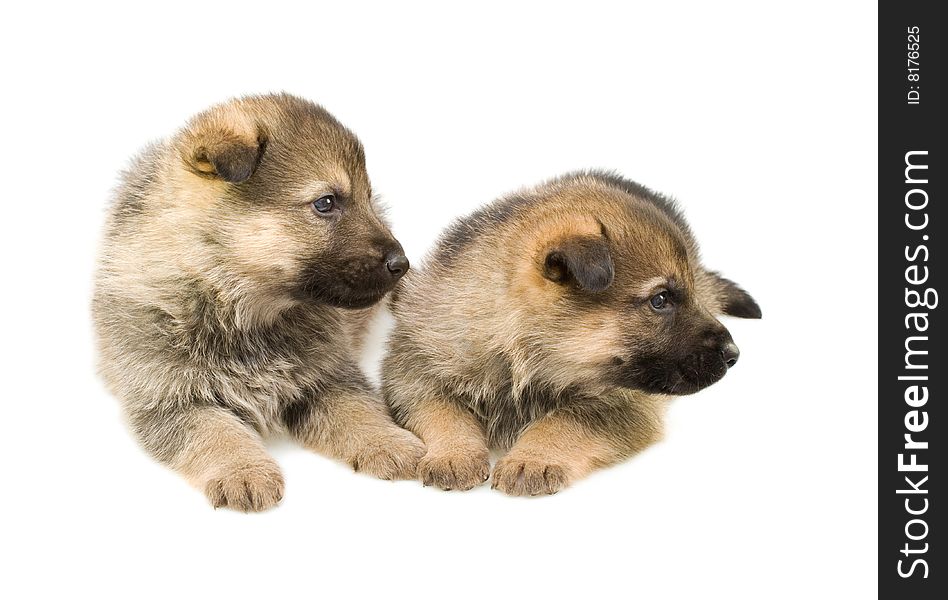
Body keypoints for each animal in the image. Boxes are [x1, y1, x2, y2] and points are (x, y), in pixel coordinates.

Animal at [93, 94, 426, 510]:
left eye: (367, 199)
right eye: (326, 203)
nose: (402, 264)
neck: (236, 305)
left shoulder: (328, 376)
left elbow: (358, 411)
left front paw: (391, 441)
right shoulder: (170, 399)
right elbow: (216, 433)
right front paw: (243, 471)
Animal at [382, 172, 760, 496]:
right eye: (661, 299)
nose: (733, 354)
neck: (517, 354)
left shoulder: (624, 402)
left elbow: (566, 419)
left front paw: (532, 459)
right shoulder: (413, 370)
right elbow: (441, 410)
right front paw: (454, 453)